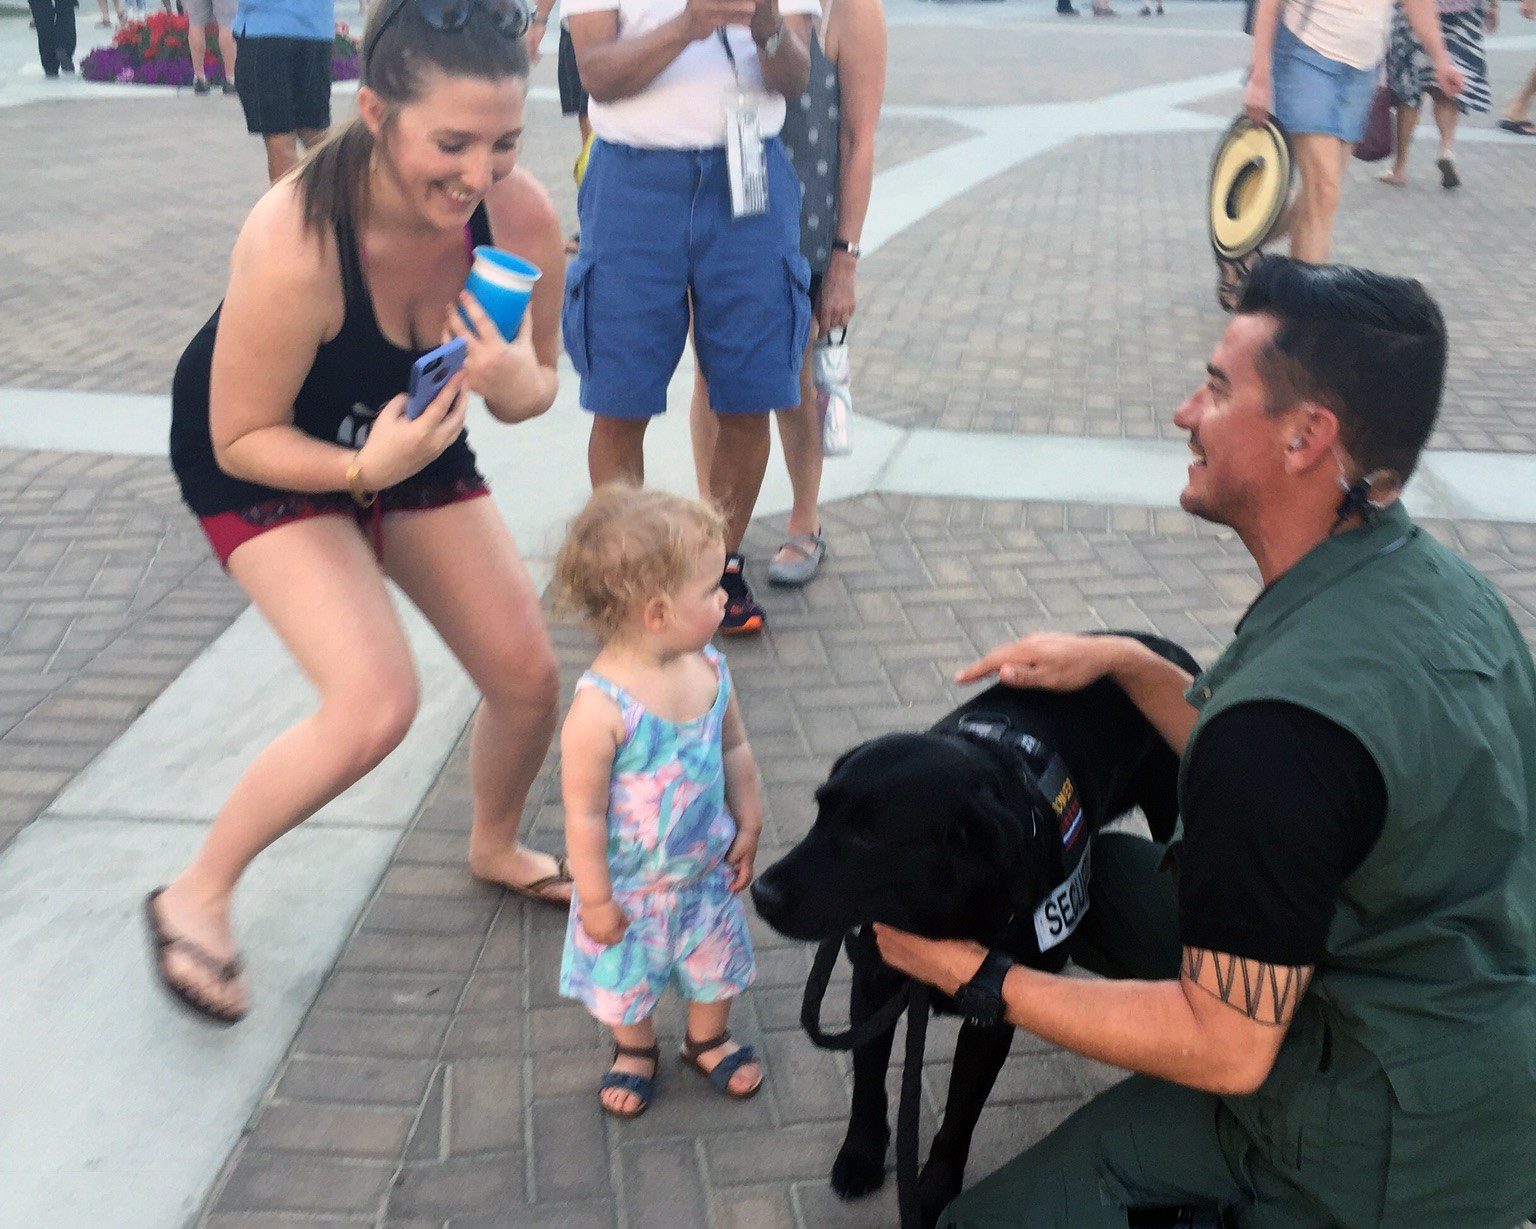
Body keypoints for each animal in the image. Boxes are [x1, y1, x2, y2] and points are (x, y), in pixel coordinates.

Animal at [752, 632, 1198, 1229]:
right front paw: (862, 1155)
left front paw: (935, 1191)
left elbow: (959, 1115)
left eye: (869, 838)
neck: (942, 916)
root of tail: (1163, 646)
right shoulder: (873, 981)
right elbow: (868, 1082)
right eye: (820, 813)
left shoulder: (990, 1015)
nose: (761, 893)